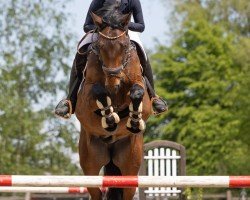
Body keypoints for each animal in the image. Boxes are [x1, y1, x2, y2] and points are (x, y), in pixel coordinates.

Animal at [75, 5, 151, 200]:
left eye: (124, 46)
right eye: (100, 47)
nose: (113, 84)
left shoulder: (139, 86)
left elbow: (137, 92)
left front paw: (134, 121)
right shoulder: (87, 94)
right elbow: (99, 91)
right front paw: (110, 119)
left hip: (130, 166)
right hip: (90, 166)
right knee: (95, 191)